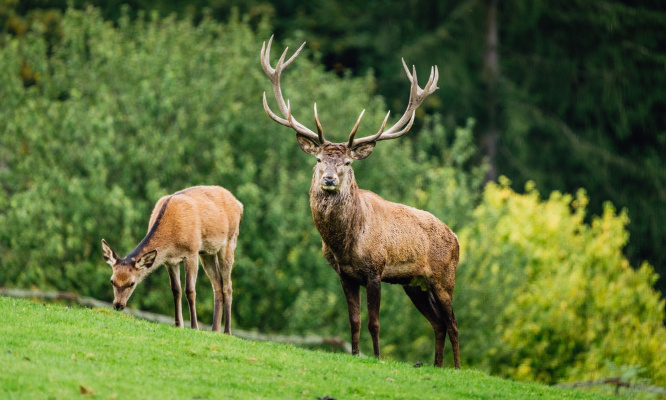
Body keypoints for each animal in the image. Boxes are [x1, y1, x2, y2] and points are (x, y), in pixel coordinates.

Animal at [101, 185, 243, 334]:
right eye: (112, 281)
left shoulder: (192, 252)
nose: (118, 305)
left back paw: (227, 331)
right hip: (207, 252)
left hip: (229, 242)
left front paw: (194, 326)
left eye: (132, 283)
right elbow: (176, 290)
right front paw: (178, 324)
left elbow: (190, 291)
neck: (172, 237)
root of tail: (239, 204)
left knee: (228, 285)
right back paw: (215, 329)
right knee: (217, 284)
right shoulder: (169, 261)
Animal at [260, 36, 460, 368]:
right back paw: (437, 366)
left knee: (454, 324)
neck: (346, 243)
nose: (329, 179)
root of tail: (457, 237)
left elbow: (373, 322)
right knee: (438, 323)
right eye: (319, 159)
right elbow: (353, 320)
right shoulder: (345, 274)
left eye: (347, 163)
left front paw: (377, 357)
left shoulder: (375, 270)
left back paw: (456, 368)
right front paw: (354, 354)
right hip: (414, 284)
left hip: (445, 277)